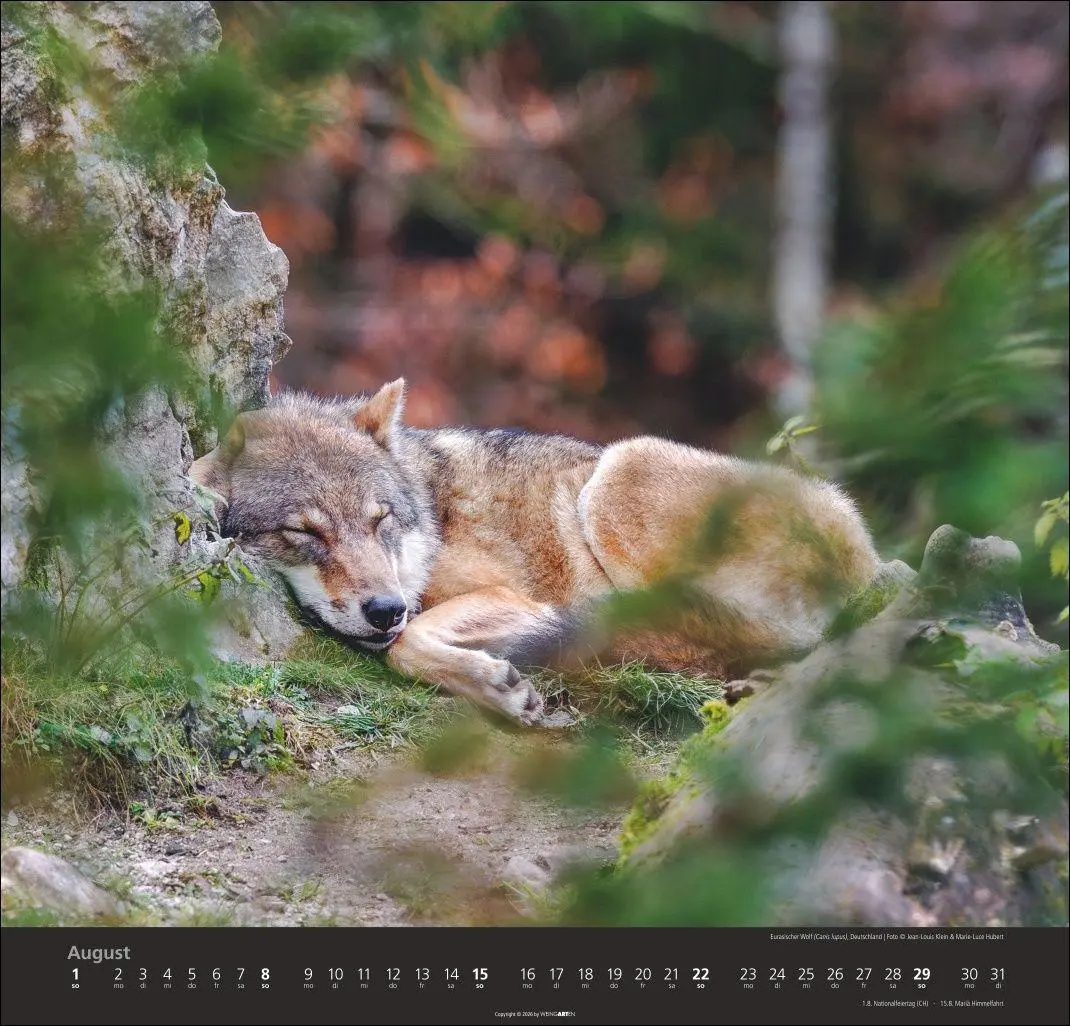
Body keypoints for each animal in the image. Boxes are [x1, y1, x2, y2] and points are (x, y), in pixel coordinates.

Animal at [191, 380, 880, 725]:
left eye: (379, 520)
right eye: (306, 533)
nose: (384, 608)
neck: (431, 519)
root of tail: (868, 557)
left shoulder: (507, 594)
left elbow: (409, 645)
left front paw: (498, 689)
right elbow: (410, 641)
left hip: (621, 471)